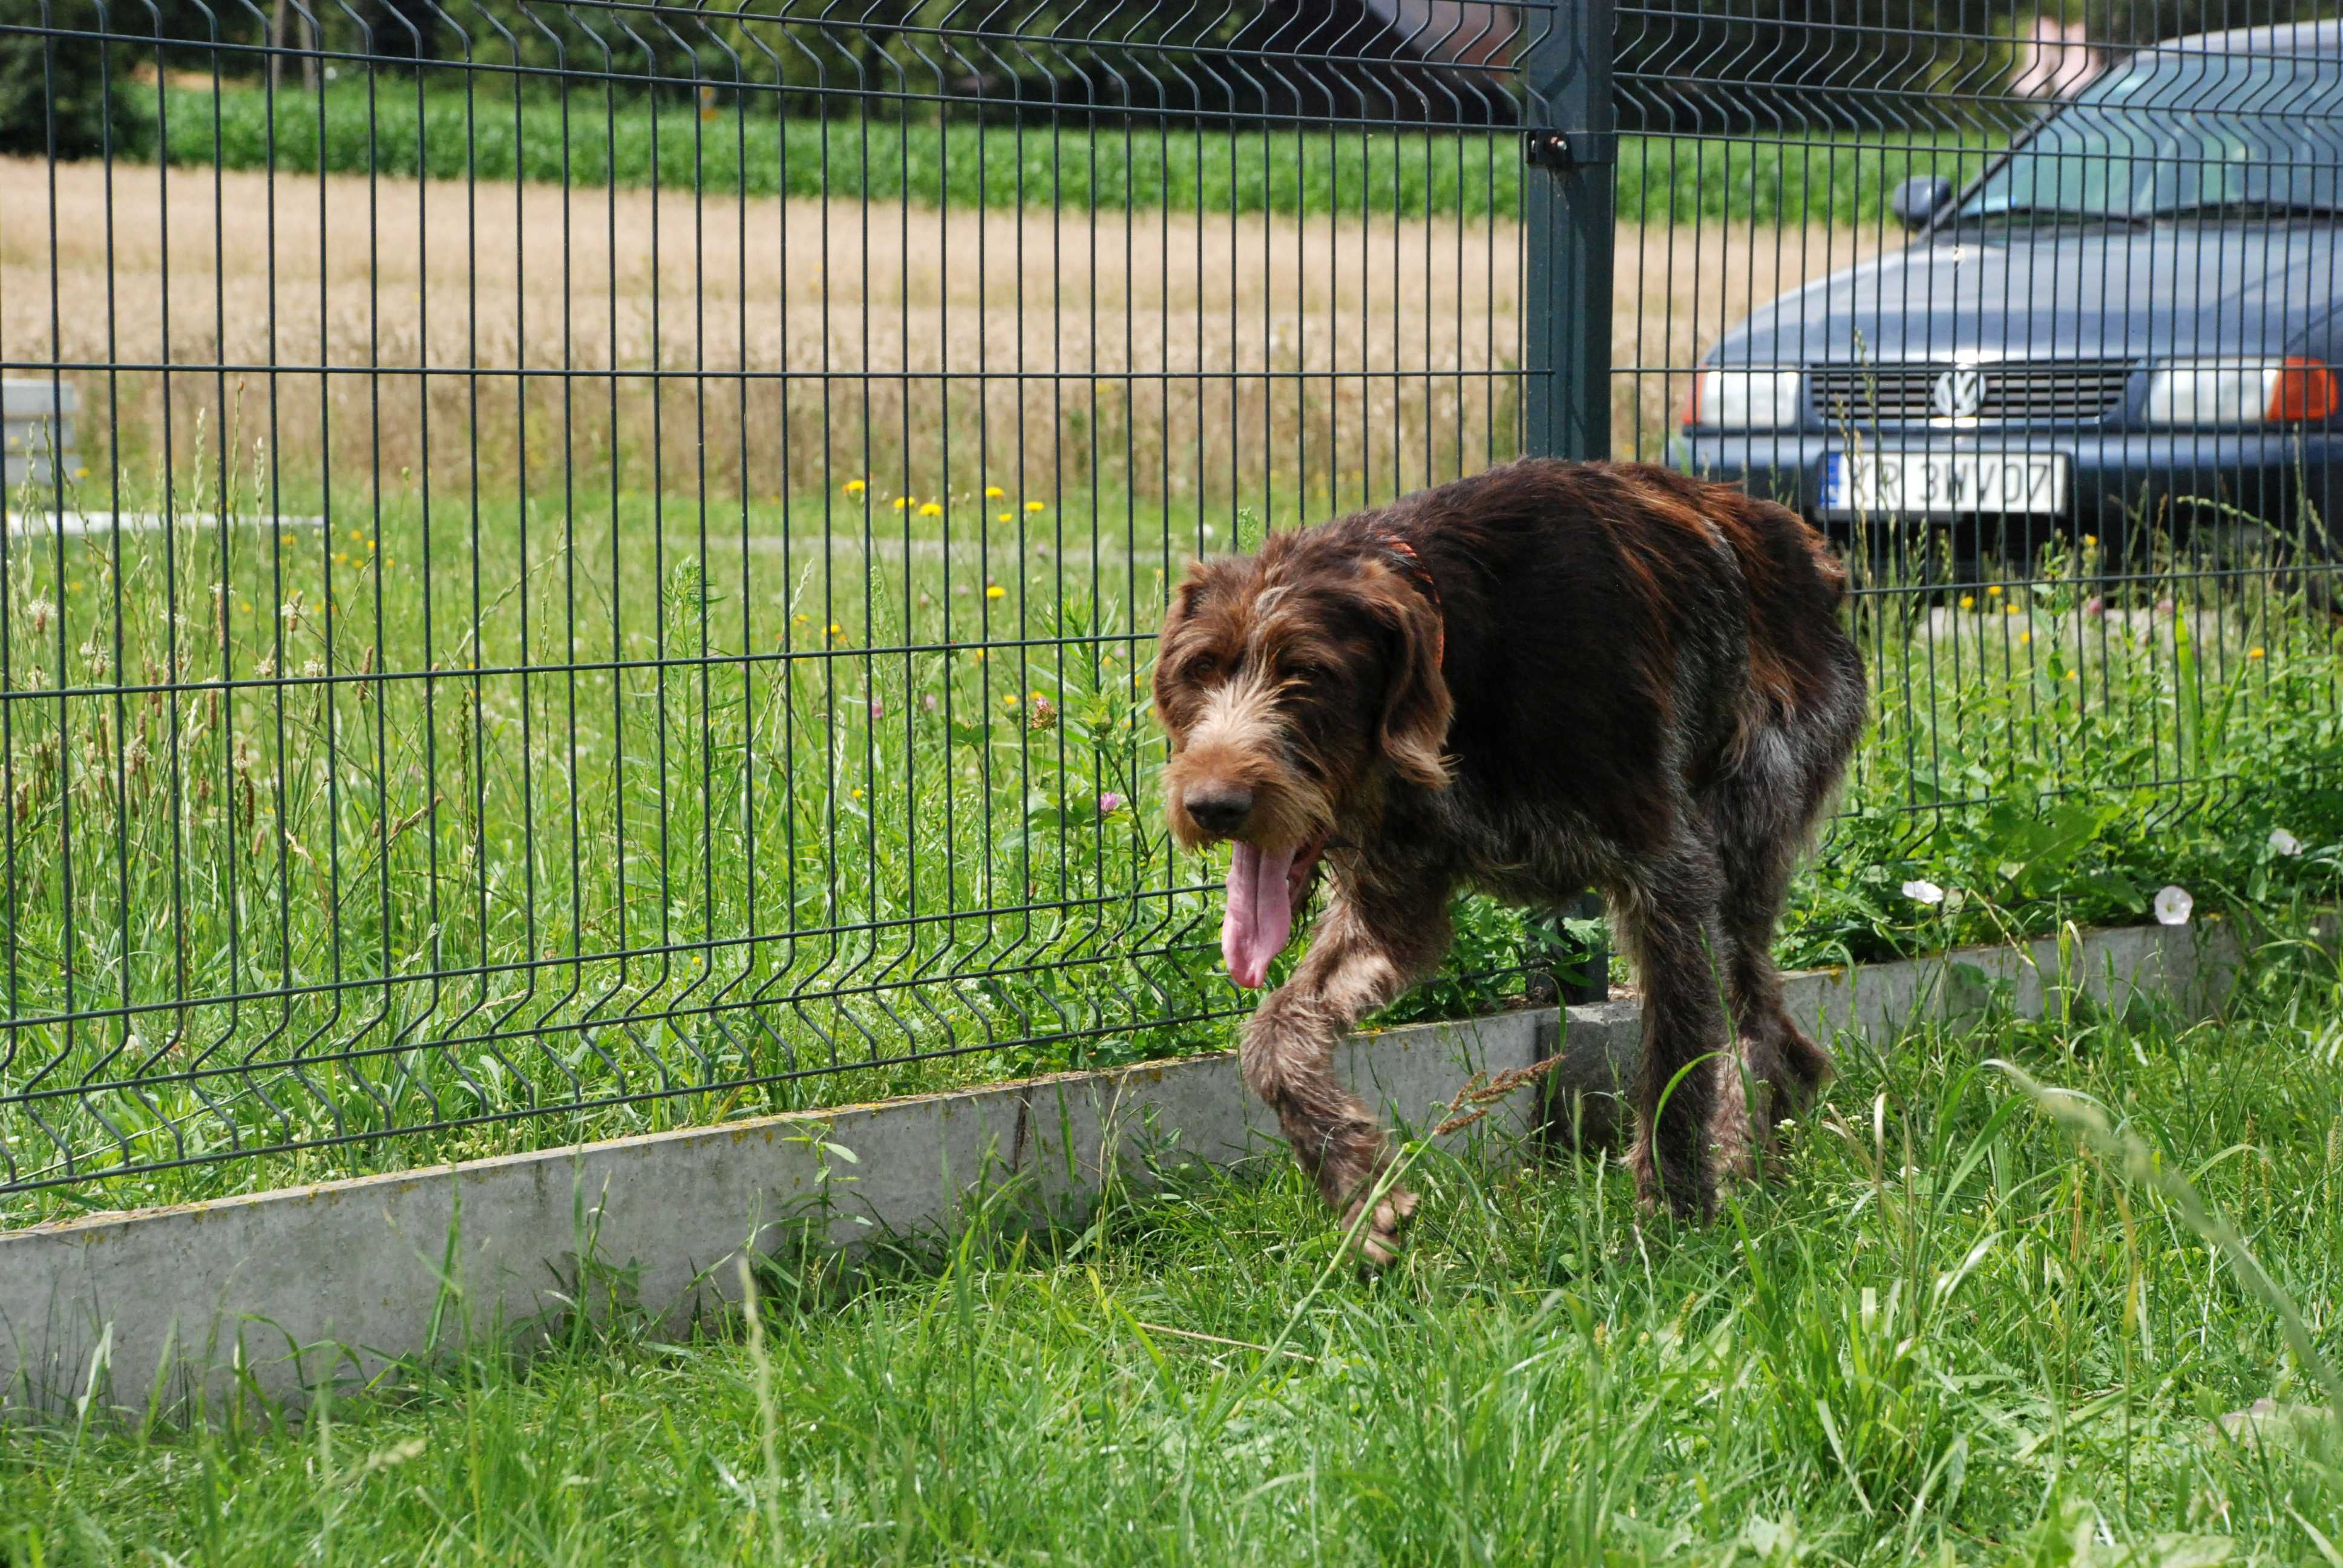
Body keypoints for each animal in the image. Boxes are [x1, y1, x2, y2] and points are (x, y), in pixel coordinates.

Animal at [1153, 454, 1865, 1256]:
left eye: (1307, 673)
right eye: (1197, 669)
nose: (1211, 805)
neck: (1458, 669)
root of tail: (1811, 550)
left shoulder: (1668, 875)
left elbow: (1674, 1059)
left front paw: (1673, 1220)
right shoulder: (1392, 907)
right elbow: (1272, 1036)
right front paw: (1359, 1186)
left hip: (1751, 826)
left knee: (1754, 1020)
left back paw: (1740, 1158)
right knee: (1780, 1034)